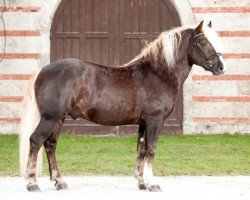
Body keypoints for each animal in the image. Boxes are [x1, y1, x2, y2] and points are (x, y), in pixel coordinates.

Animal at [19, 20, 226, 192]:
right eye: (202, 43)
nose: (221, 67)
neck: (158, 74)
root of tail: (42, 70)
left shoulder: (143, 123)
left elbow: (141, 150)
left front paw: (141, 182)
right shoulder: (155, 121)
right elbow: (151, 150)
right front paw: (152, 184)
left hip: (59, 119)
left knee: (50, 144)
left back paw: (59, 181)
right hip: (50, 118)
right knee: (35, 141)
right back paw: (32, 183)